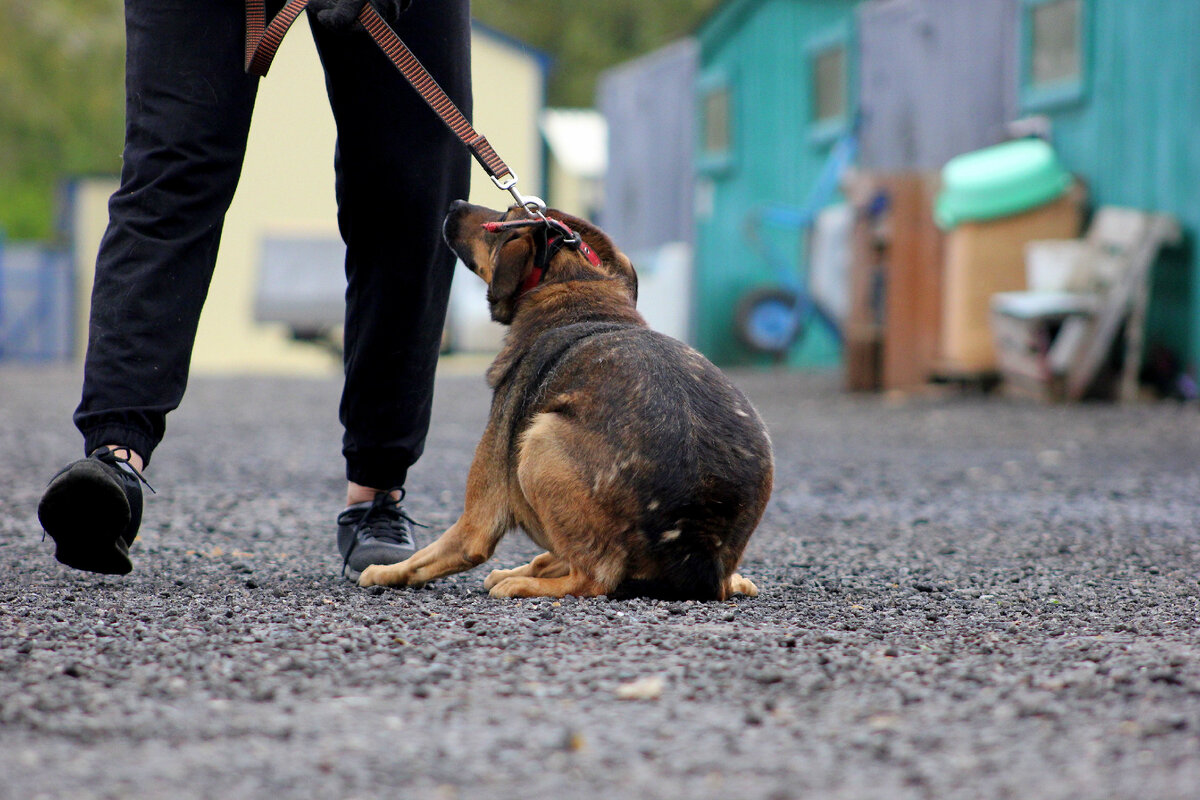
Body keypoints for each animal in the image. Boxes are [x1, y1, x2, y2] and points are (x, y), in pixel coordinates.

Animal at [355, 203, 772, 597]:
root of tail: (696, 546)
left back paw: (523, 584)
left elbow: (433, 555)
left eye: (502, 218)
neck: (578, 295)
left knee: (594, 577)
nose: (456, 203)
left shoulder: (480, 516)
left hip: (539, 440)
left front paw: (384, 572)